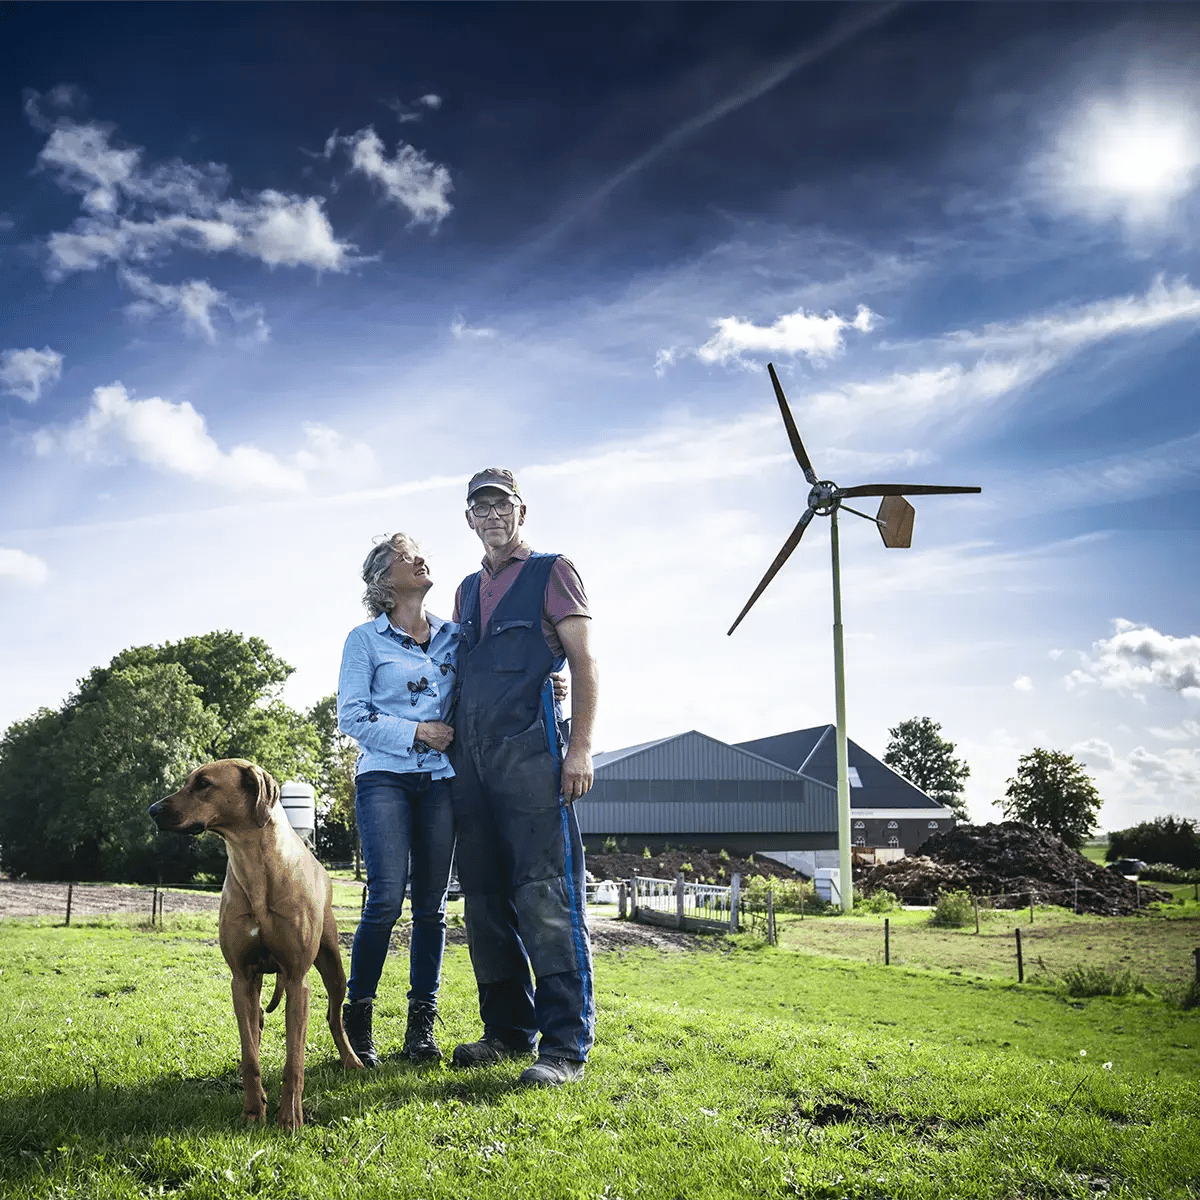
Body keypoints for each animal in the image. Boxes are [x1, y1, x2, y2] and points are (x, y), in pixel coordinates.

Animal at [148, 758, 360, 1123]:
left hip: (333, 966)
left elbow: (294, 1060)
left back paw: (352, 1059)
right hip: (257, 981)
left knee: (334, 1017)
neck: (253, 864)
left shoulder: (296, 980)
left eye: (203, 783)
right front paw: (252, 1110)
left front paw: (289, 1117)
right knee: (256, 1023)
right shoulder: (241, 978)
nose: (153, 810)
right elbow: (250, 1054)